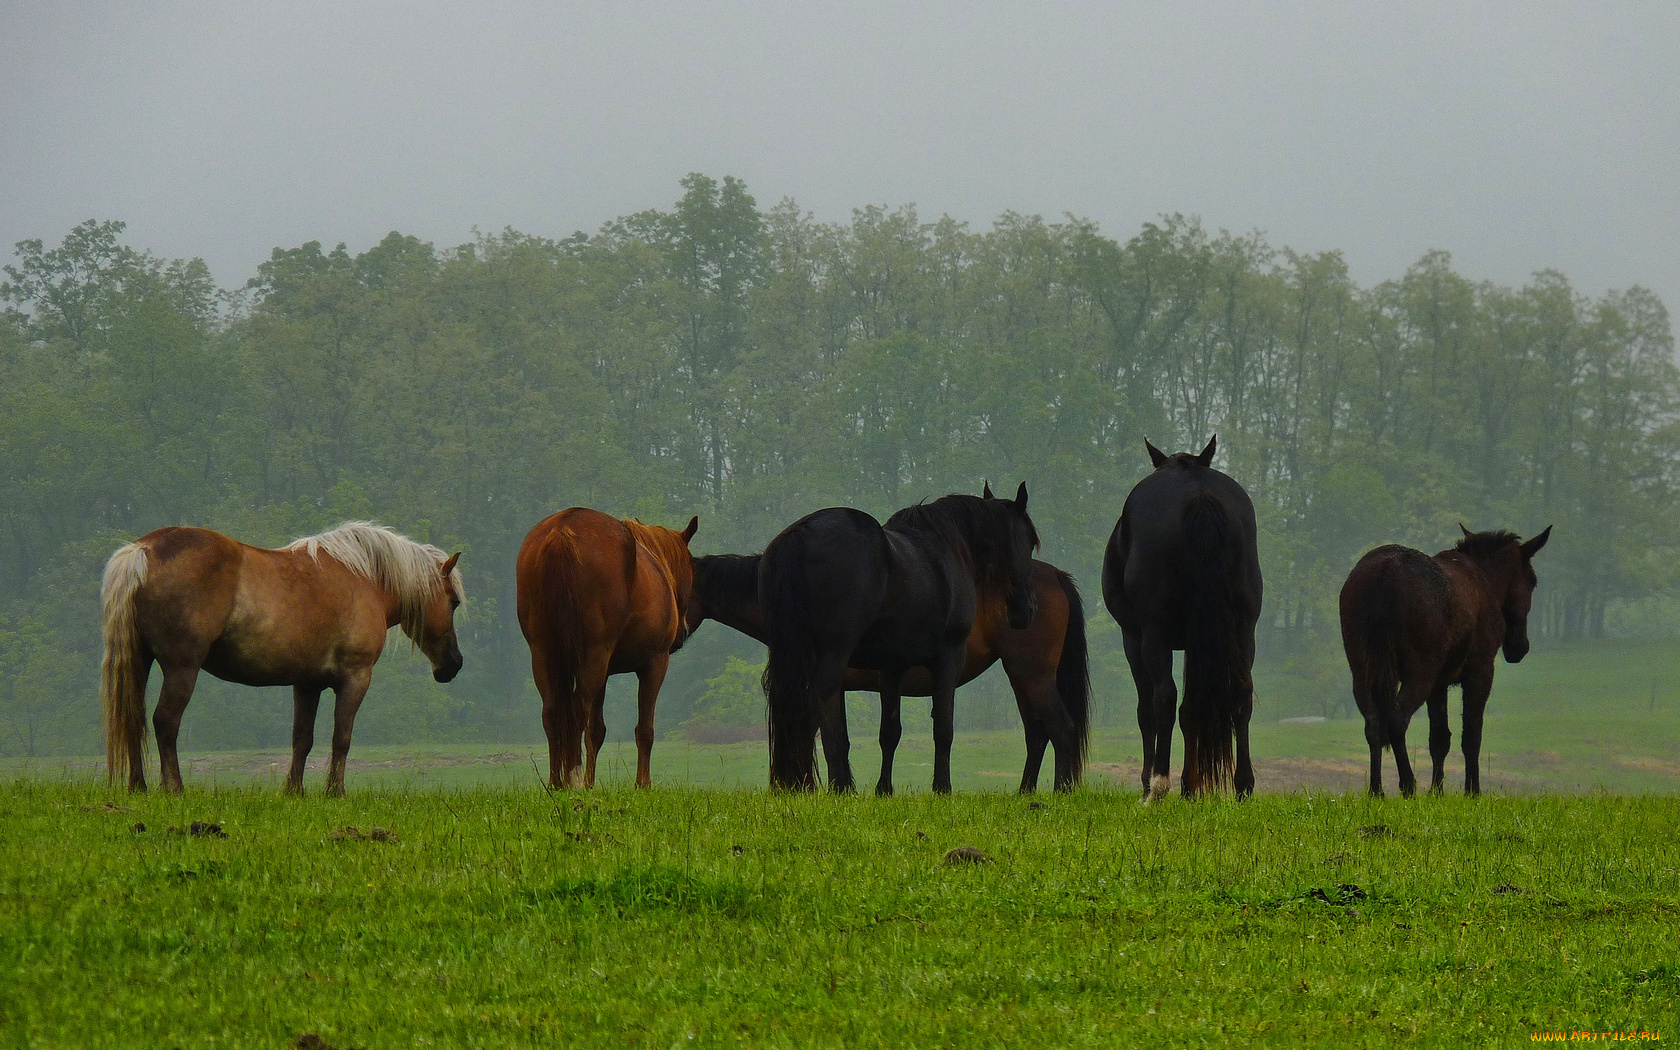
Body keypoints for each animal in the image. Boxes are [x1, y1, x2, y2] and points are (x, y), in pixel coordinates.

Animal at [100, 520, 463, 799]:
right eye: (454, 601)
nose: (453, 664)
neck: (364, 579)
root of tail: (144, 550)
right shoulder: (355, 677)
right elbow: (341, 738)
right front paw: (335, 792)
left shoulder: (307, 684)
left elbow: (302, 740)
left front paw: (293, 791)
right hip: (181, 669)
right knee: (165, 721)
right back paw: (174, 788)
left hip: (140, 661)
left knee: (134, 718)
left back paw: (138, 787)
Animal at [510, 507, 695, 786]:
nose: (682, 632)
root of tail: (562, 531)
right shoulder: (654, 664)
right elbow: (645, 729)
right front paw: (643, 784)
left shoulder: (604, 672)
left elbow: (595, 731)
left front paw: (590, 783)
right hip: (593, 656)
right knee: (577, 710)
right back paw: (572, 777)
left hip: (544, 654)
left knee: (552, 712)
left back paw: (556, 782)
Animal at [759, 487, 1034, 789]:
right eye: (1031, 542)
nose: (1026, 611)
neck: (948, 547)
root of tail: (798, 536)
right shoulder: (949, 657)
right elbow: (943, 728)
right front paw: (942, 788)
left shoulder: (893, 666)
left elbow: (889, 732)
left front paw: (884, 789)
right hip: (832, 658)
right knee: (811, 717)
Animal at [1102, 436, 1263, 799]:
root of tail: (1199, 495)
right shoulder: (1197, 640)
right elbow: (1192, 709)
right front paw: (1190, 786)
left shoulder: (1133, 637)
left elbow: (1147, 709)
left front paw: (1148, 782)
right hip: (1242, 630)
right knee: (1240, 693)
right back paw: (1242, 785)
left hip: (1154, 635)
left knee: (1164, 696)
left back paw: (1158, 785)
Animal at [1337, 524, 1545, 792]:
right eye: (1532, 581)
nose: (1519, 648)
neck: (1489, 582)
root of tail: (1383, 575)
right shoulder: (1480, 670)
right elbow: (1471, 736)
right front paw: (1472, 790)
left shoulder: (1440, 682)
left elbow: (1439, 738)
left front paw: (1437, 790)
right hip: (1419, 671)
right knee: (1396, 719)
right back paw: (1408, 783)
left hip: (1364, 670)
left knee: (1373, 723)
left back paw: (1377, 789)